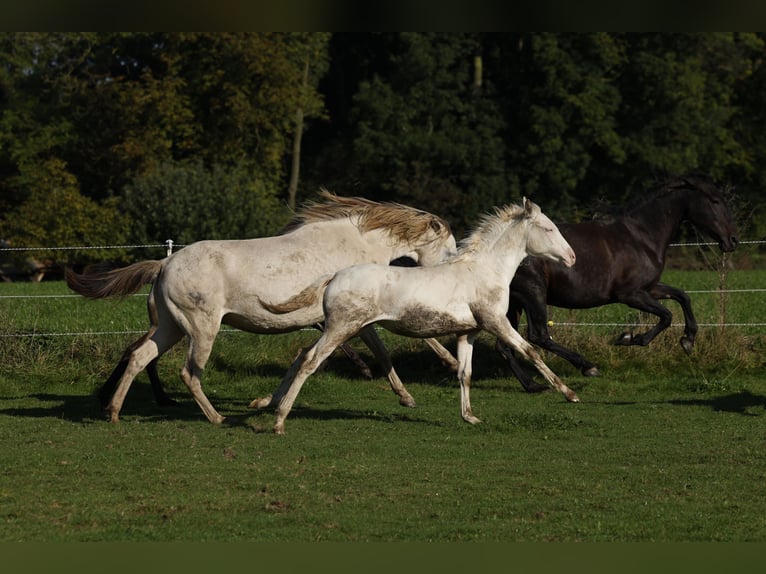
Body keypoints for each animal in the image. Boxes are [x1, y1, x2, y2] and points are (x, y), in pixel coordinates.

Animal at [67, 191, 456, 426]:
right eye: (451, 249)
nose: (449, 274)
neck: (357, 242)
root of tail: (164, 265)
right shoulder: (356, 316)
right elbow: (384, 350)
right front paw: (433, 376)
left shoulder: (347, 319)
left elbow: (317, 357)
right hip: (201, 329)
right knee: (188, 373)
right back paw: (216, 418)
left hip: (170, 328)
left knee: (138, 356)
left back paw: (113, 411)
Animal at [255, 199, 580, 436]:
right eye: (548, 229)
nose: (572, 257)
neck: (483, 272)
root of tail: (334, 276)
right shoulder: (496, 323)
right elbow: (530, 351)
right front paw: (569, 393)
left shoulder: (469, 332)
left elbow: (465, 373)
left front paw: (469, 417)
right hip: (341, 328)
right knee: (310, 362)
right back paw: (279, 421)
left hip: (340, 329)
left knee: (304, 354)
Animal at [500, 173, 740, 394]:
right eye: (715, 201)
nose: (733, 240)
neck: (641, 237)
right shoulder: (630, 294)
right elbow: (667, 316)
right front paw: (629, 338)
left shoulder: (649, 288)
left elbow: (682, 296)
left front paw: (688, 340)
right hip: (533, 294)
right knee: (538, 335)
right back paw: (587, 367)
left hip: (514, 303)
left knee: (506, 344)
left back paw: (533, 385)